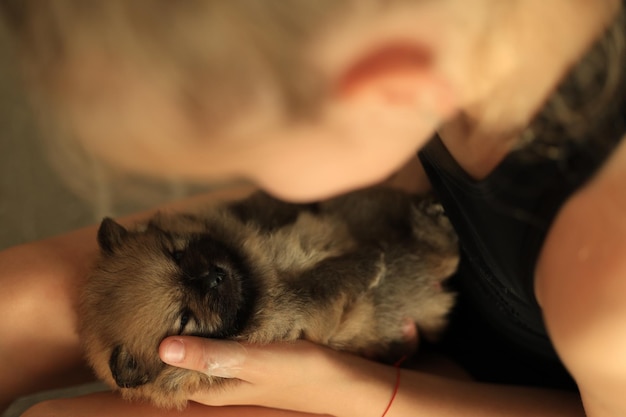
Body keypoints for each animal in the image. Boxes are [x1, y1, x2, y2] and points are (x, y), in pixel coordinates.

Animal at [78, 187, 458, 408]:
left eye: (177, 253)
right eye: (184, 318)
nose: (214, 277)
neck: (255, 276)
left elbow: (264, 210)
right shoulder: (301, 312)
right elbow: (318, 283)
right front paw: (366, 263)